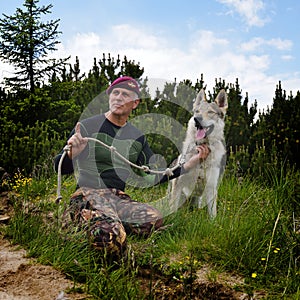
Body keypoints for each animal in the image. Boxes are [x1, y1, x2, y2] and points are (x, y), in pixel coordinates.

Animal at [169, 89, 227, 218]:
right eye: (197, 111)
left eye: (210, 112)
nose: (197, 119)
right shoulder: (178, 183)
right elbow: (173, 208)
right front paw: (172, 219)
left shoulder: (211, 188)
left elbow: (213, 214)